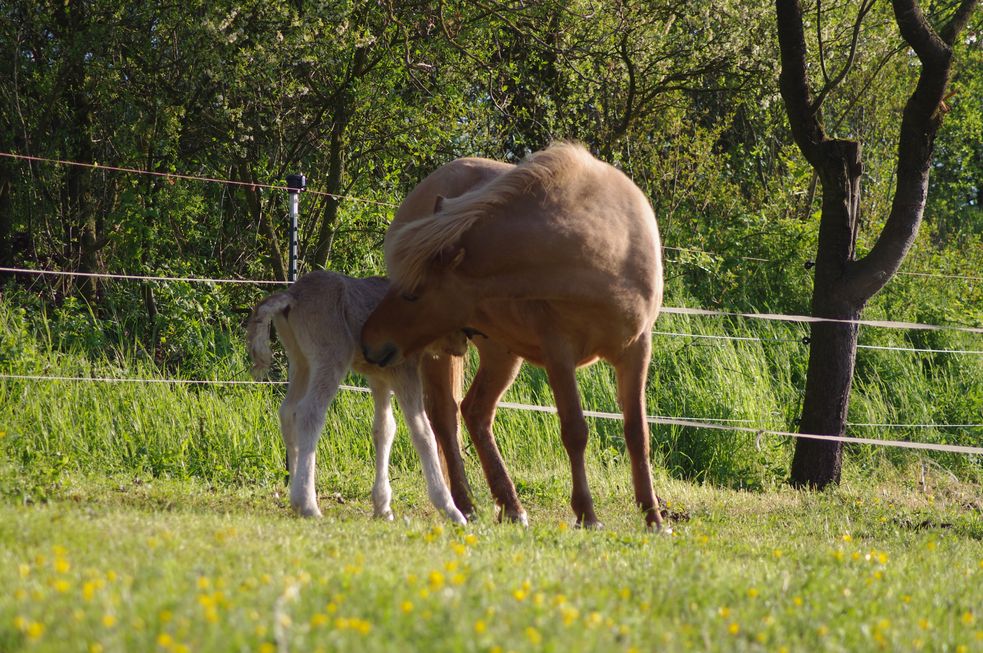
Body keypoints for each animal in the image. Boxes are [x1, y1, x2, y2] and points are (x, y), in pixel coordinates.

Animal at [364, 144, 668, 528]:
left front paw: (654, 518)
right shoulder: (558, 354)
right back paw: (467, 504)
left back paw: (510, 506)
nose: (368, 340)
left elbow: (637, 433)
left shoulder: (636, 350)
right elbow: (575, 430)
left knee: (475, 412)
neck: (606, 245)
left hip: (501, 353)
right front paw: (587, 513)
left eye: (412, 294)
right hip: (443, 354)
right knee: (445, 417)